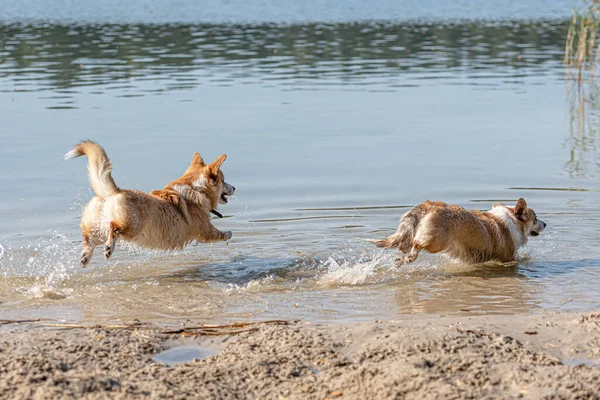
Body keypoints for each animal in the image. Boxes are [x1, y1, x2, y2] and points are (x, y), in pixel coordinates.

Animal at [65, 141, 234, 268]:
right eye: (224, 180)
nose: (234, 188)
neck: (196, 188)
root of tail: (113, 192)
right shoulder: (205, 230)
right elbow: (218, 233)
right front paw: (229, 233)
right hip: (131, 227)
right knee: (114, 228)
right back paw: (108, 249)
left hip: (98, 228)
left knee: (89, 239)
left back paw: (85, 257)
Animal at [368, 198, 548, 264]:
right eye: (535, 218)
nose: (546, 224)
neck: (512, 219)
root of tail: (431, 205)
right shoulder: (508, 257)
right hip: (437, 242)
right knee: (417, 243)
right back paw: (410, 256)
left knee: (404, 244)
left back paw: (402, 257)